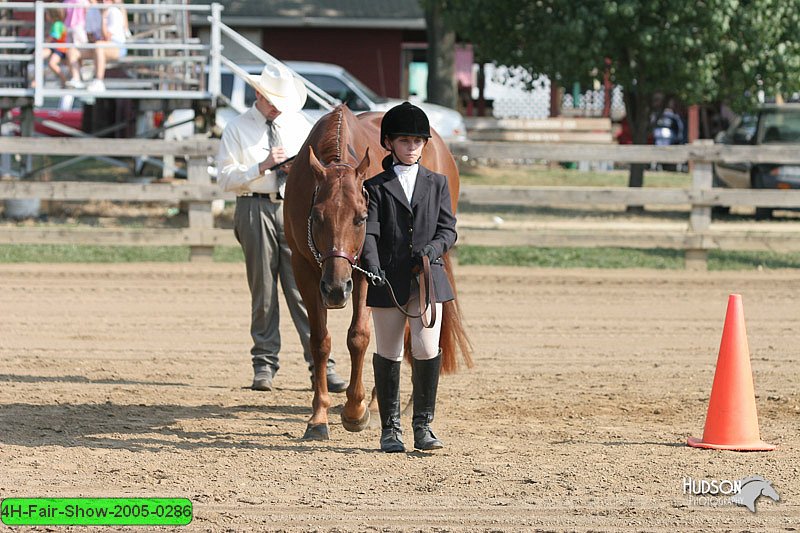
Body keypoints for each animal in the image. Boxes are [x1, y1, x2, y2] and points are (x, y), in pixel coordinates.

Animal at [282, 105, 468, 440]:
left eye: (361, 217)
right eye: (317, 216)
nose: (336, 289)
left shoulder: (368, 274)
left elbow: (358, 336)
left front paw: (354, 411)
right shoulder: (304, 270)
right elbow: (319, 341)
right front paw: (318, 417)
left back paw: (399, 403)